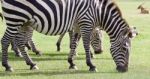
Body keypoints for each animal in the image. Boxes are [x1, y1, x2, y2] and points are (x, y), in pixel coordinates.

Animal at [0, 0, 137, 72]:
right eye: (124, 48)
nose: (125, 70)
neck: (97, 12)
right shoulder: (86, 23)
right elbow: (85, 44)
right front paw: (91, 65)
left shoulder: (76, 25)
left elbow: (74, 43)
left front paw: (71, 62)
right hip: (16, 19)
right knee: (5, 40)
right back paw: (7, 66)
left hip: (24, 22)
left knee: (19, 42)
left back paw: (31, 63)